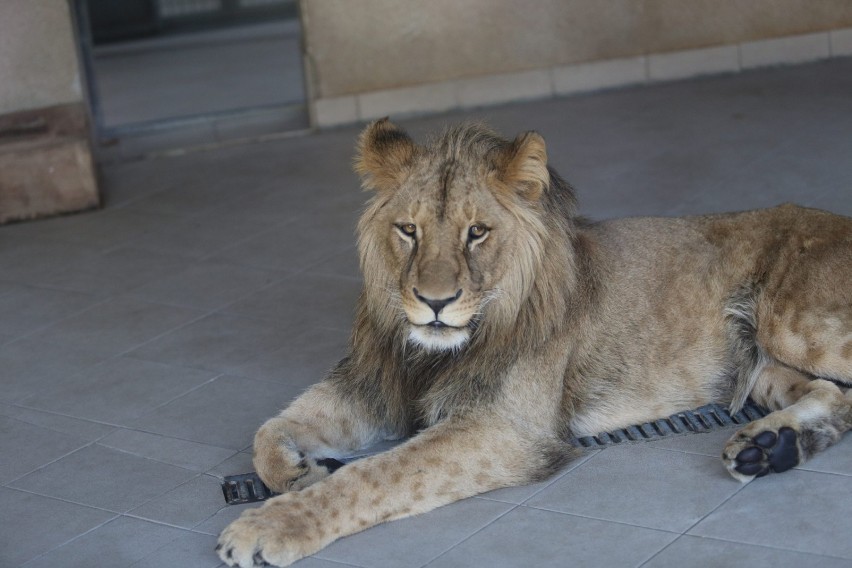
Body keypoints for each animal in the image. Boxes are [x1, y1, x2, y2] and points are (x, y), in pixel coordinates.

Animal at [218, 117, 852, 564]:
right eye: (409, 230)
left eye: (477, 233)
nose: (434, 302)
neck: (432, 354)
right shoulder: (374, 386)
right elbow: (268, 430)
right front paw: (297, 472)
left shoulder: (503, 430)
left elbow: (374, 475)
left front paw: (266, 526)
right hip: (765, 364)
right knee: (835, 396)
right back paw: (771, 447)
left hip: (790, 323)